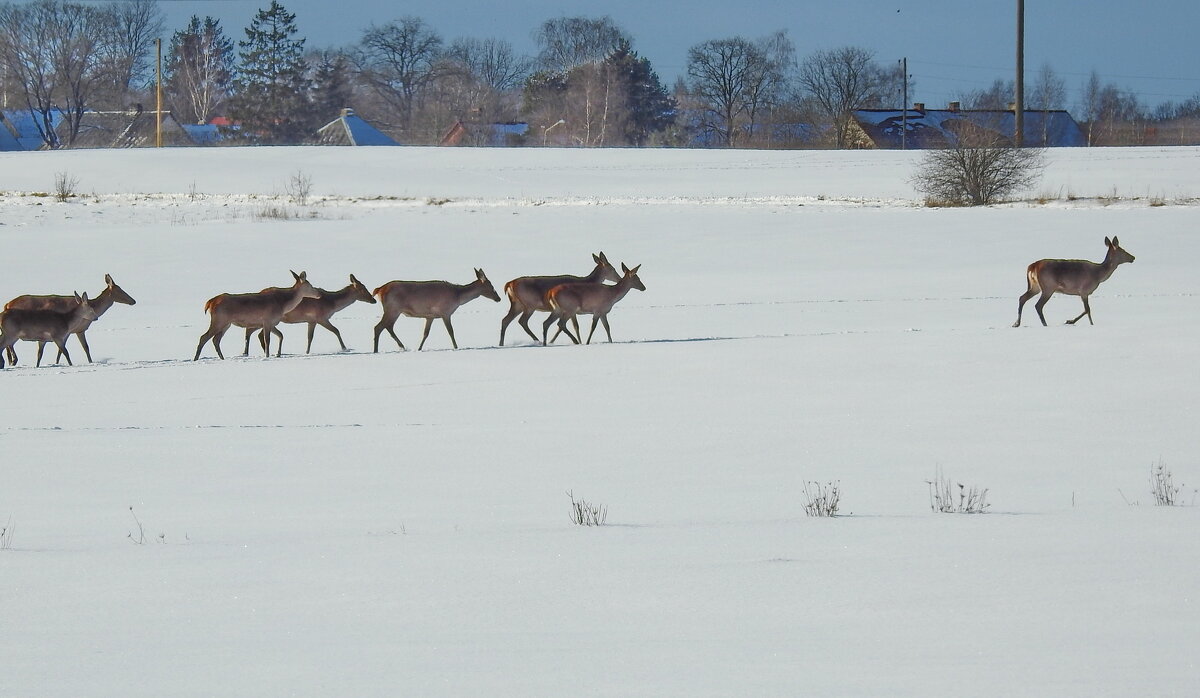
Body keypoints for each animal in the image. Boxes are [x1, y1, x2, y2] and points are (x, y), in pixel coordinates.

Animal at [4, 274, 136, 366]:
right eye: (120, 290)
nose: (133, 301)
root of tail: (6, 305)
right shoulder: (75, 330)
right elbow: (81, 348)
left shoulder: (73, 331)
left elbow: (68, 349)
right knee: (9, 344)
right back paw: (13, 361)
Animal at [241, 274, 376, 354]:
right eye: (362, 289)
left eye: (365, 287)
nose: (373, 300)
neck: (332, 304)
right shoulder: (321, 317)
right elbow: (336, 330)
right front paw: (345, 348)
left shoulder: (311, 320)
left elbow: (310, 337)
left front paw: (307, 351)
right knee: (250, 331)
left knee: (254, 333)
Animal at [376, 271, 504, 352]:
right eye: (491, 286)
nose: (498, 298)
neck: (458, 298)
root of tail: (380, 289)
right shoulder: (445, 312)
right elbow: (451, 331)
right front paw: (456, 347)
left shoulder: (430, 316)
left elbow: (426, 333)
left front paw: (419, 348)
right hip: (393, 309)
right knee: (379, 327)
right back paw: (377, 350)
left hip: (393, 311)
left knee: (387, 326)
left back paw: (400, 346)